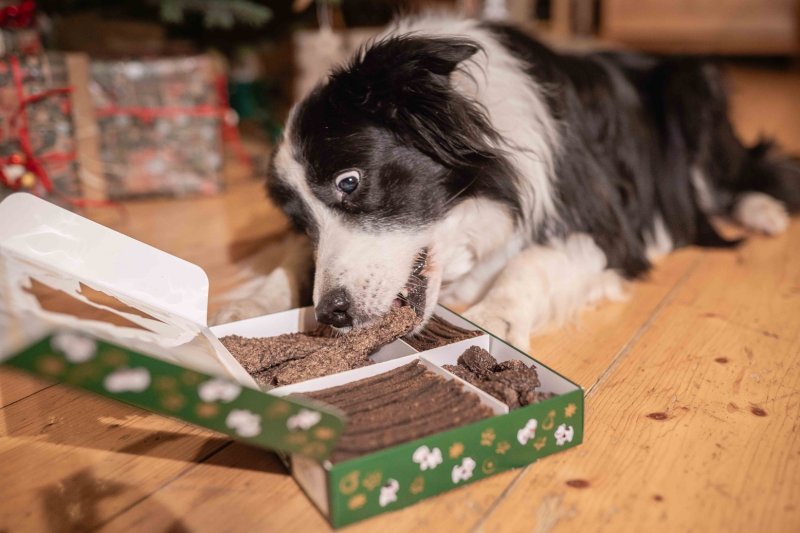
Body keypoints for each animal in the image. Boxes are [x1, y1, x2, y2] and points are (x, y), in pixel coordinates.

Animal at [219, 13, 800, 350]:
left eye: (349, 182)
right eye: (302, 221)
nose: (332, 314)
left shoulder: (605, 227)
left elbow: (532, 262)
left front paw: (494, 318)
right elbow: (289, 255)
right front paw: (251, 300)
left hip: (690, 87)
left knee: (744, 170)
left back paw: (763, 211)